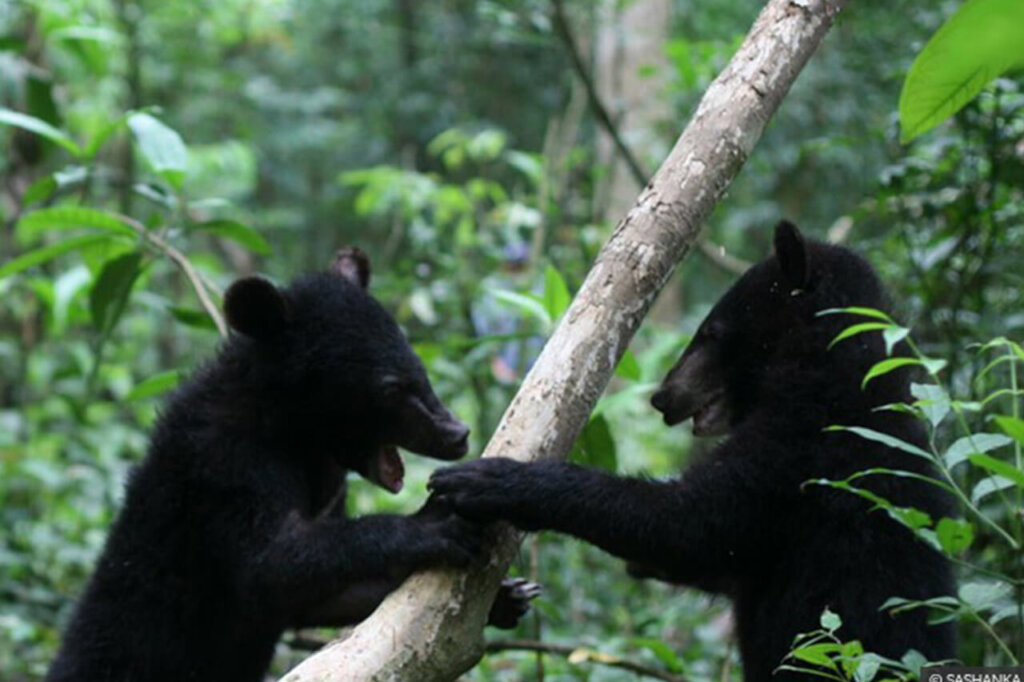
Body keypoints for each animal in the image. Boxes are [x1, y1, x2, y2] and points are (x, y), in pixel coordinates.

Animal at [46, 248, 537, 682]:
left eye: (419, 366)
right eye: (391, 386)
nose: (457, 432)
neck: (295, 434)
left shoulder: (329, 484)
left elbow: (308, 597)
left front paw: (508, 597)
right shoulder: (222, 460)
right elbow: (270, 563)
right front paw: (435, 521)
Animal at [429, 222, 957, 681]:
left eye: (711, 332)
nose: (663, 397)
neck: (831, 369)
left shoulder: (802, 453)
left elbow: (691, 524)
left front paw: (487, 481)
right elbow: (706, 560)